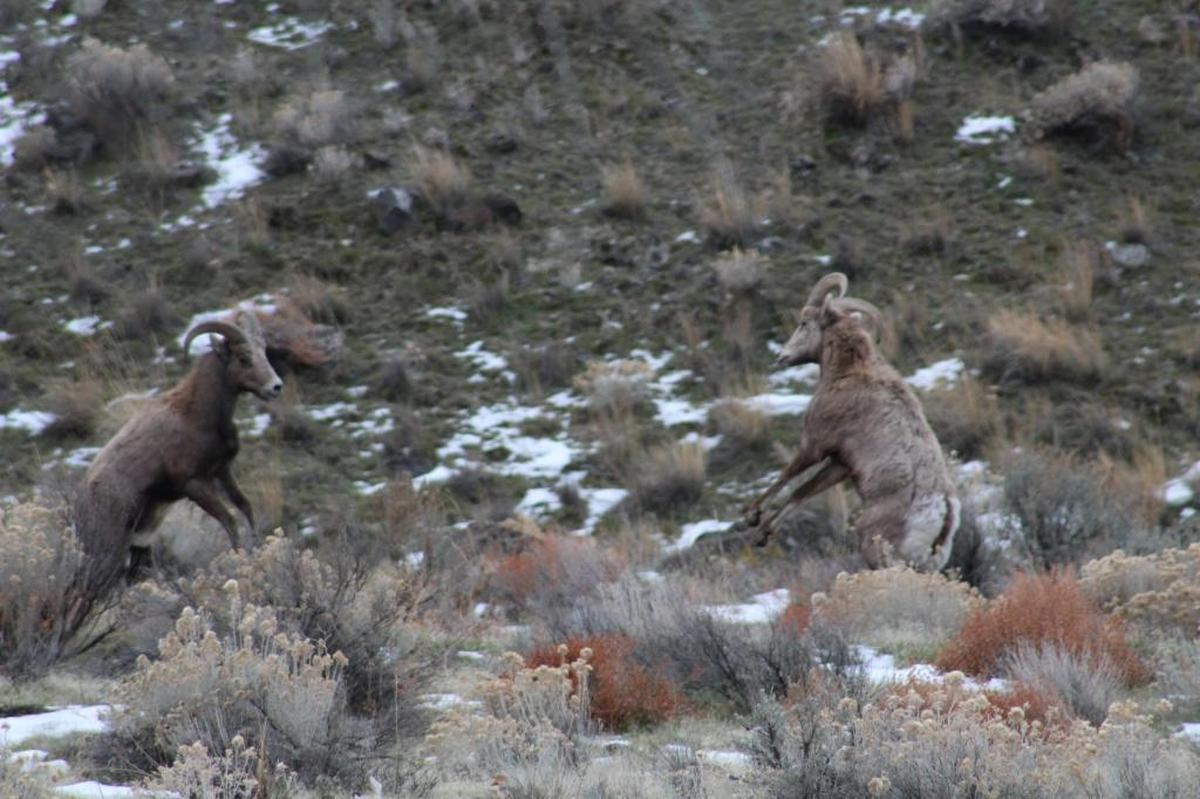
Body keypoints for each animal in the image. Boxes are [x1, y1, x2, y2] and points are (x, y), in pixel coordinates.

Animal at [76, 309, 282, 592]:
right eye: (243, 358)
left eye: (264, 352)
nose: (275, 386)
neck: (196, 414)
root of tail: (84, 494)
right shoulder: (194, 485)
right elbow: (229, 520)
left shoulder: (222, 472)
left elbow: (245, 507)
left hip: (140, 540)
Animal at [744, 283, 959, 572]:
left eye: (804, 322)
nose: (781, 357)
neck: (851, 371)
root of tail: (942, 515)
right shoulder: (840, 464)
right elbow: (802, 492)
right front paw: (762, 534)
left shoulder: (815, 446)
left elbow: (786, 476)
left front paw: (752, 517)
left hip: (876, 550)